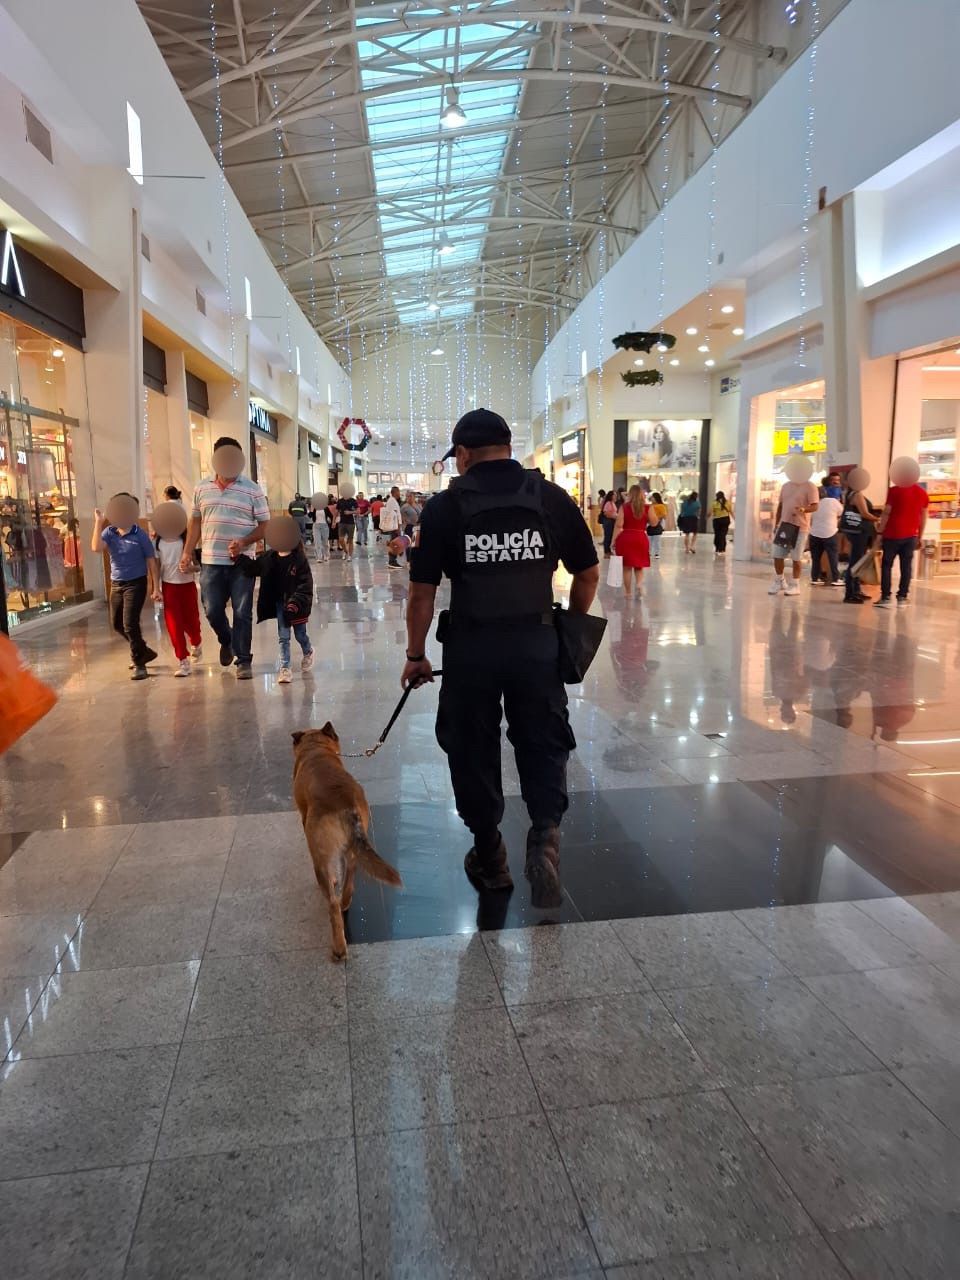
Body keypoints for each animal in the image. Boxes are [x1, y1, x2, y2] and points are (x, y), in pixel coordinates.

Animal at [289, 727, 401, 957]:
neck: (316, 748)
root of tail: (345, 804)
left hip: (321, 858)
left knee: (332, 902)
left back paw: (339, 947)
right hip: (354, 852)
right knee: (349, 882)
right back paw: (345, 902)